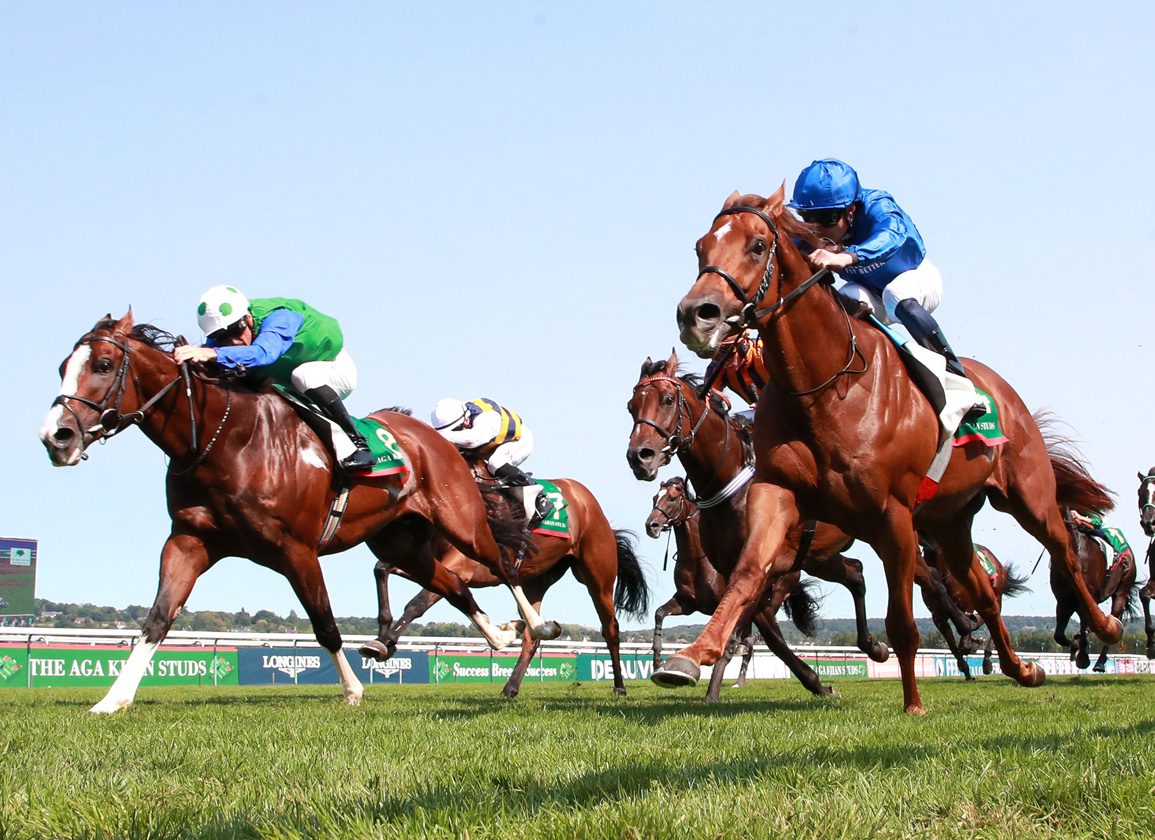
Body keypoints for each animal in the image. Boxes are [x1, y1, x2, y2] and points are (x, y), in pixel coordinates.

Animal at [39, 312, 558, 713]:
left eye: (104, 364)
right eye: (63, 366)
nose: (55, 437)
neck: (225, 440)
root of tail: (440, 442)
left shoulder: (297, 550)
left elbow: (324, 624)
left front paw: (352, 691)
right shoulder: (189, 540)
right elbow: (157, 618)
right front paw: (113, 699)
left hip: (460, 522)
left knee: (500, 564)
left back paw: (533, 625)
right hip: (401, 541)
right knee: (450, 585)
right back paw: (500, 636)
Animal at [359, 473, 651, 697]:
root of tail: (590, 504)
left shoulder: (460, 567)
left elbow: (417, 602)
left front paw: (385, 641)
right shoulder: (427, 563)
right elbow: (381, 568)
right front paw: (383, 634)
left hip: (597, 578)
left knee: (610, 629)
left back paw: (620, 687)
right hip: (535, 580)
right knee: (532, 635)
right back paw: (510, 687)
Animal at [644, 475, 823, 702]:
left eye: (673, 499)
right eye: (654, 498)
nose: (651, 525)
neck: (695, 557)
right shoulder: (687, 602)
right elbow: (659, 613)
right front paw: (657, 661)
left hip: (771, 598)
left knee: (754, 638)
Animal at [920, 540, 1030, 679]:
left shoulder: (965, 605)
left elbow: (965, 625)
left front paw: (969, 642)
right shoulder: (938, 615)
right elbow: (952, 643)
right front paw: (966, 669)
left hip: (994, 596)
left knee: (993, 620)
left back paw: (987, 660)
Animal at [1052, 515, 1139, 671]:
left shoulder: (1088, 597)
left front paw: (1082, 657)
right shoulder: (1063, 600)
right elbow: (1059, 636)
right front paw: (1076, 647)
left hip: (1122, 589)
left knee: (1113, 619)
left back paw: (1099, 662)